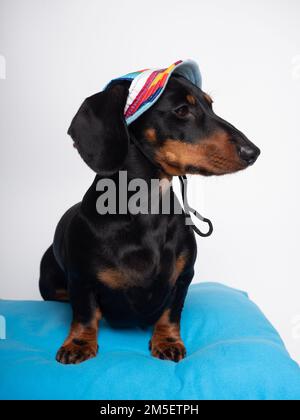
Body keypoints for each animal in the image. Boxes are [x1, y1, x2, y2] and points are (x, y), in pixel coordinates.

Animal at [39, 74, 260, 364]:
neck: (146, 208)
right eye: (182, 110)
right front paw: (79, 343)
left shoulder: (184, 276)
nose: (253, 152)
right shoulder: (80, 279)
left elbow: (171, 312)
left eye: (211, 105)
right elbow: (85, 313)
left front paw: (167, 340)